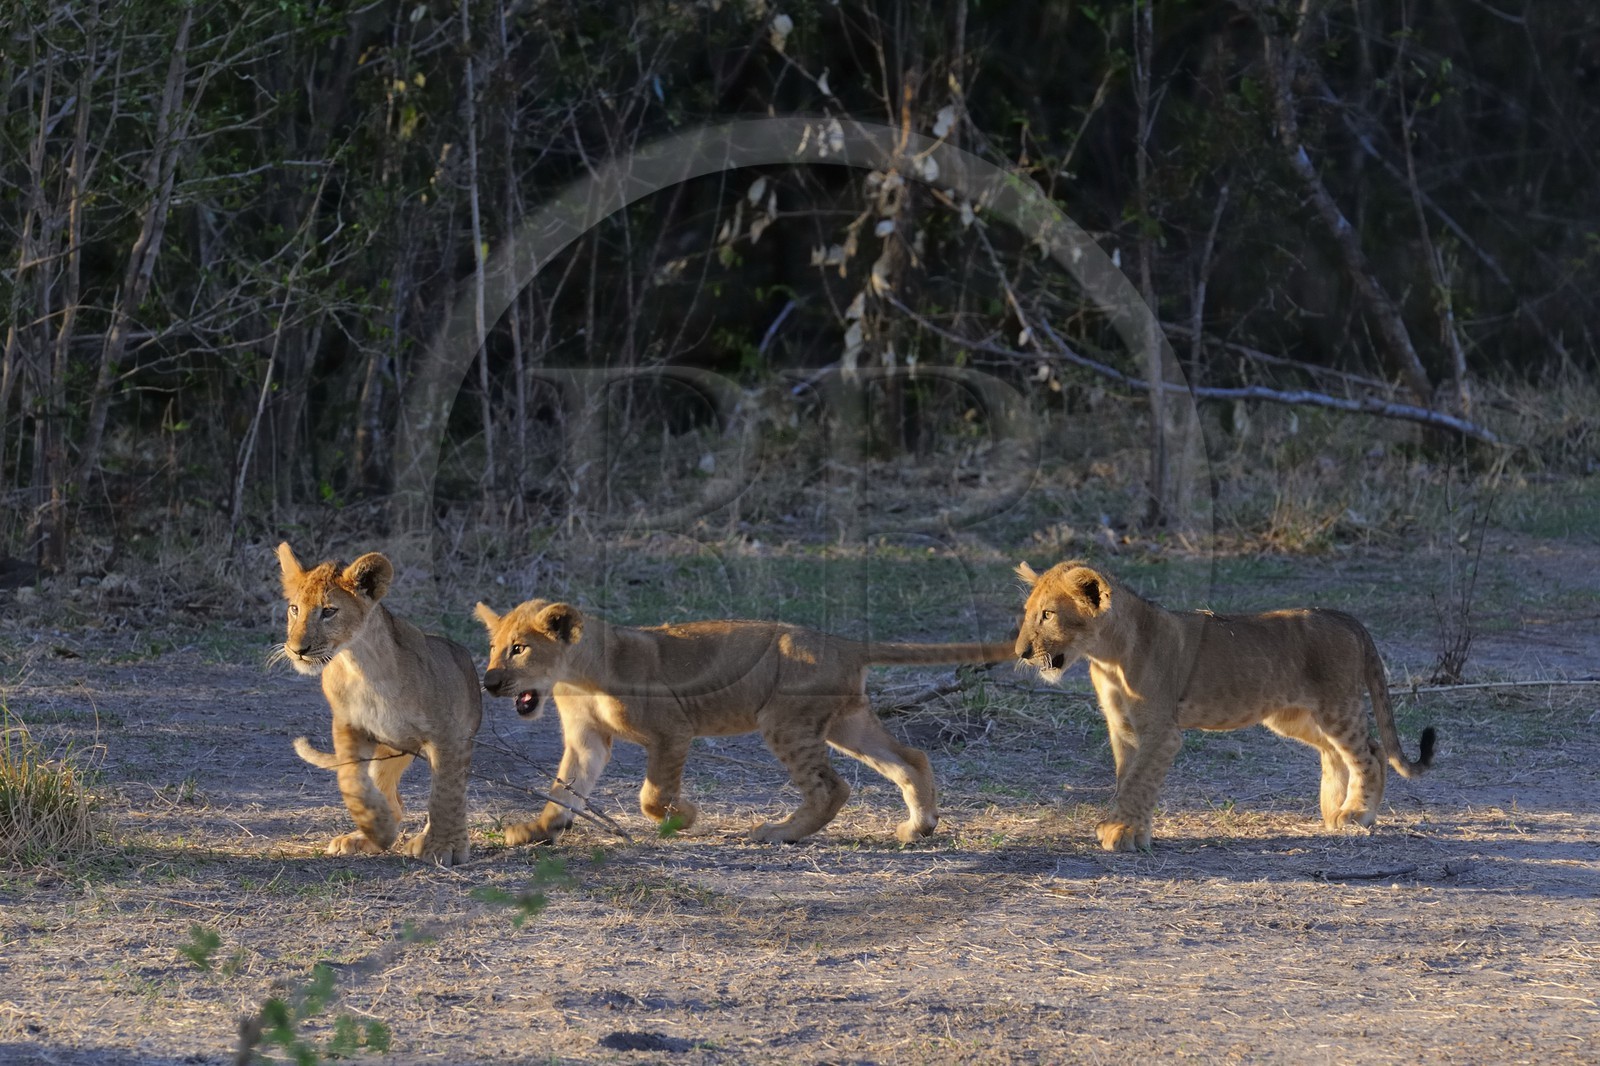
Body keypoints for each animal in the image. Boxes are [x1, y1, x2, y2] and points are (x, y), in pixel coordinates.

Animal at [274, 542, 482, 865]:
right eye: (294, 608)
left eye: (329, 611)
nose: (297, 650)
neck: (361, 666)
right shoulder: (348, 725)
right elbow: (351, 782)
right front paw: (378, 830)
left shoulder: (446, 735)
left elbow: (445, 793)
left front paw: (442, 847)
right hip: (389, 751)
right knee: (392, 798)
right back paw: (364, 838)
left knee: (450, 788)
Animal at [473, 599, 1014, 845]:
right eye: (494, 647)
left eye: (520, 648)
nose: (490, 681)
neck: (574, 677)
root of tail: (842, 642)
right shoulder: (587, 741)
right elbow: (565, 785)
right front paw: (540, 828)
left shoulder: (672, 731)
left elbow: (652, 795)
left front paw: (684, 817)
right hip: (846, 723)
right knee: (910, 758)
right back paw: (918, 827)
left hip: (785, 722)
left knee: (832, 787)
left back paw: (777, 833)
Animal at [1012, 560, 1435, 852]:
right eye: (1028, 613)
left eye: (1048, 614)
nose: (1021, 652)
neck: (1105, 656)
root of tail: (1342, 616)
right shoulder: (1124, 729)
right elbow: (1127, 778)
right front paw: (1130, 828)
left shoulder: (1162, 732)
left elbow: (1138, 781)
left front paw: (1123, 833)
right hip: (1293, 716)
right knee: (1336, 753)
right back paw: (1333, 810)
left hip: (1336, 707)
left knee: (1370, 752)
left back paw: (1357, 813)